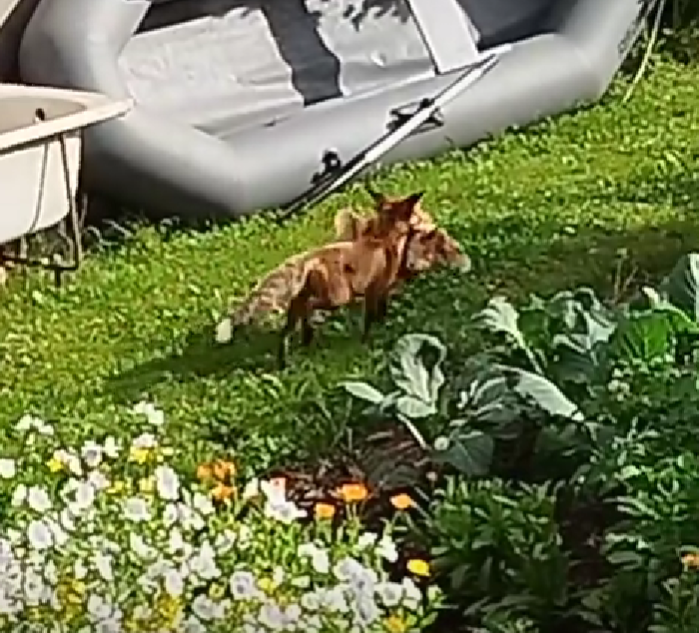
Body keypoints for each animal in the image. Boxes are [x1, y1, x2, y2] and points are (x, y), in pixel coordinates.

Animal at [215, 191, 423, 369]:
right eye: (414, 213)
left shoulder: (378, 292)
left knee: (284, 334)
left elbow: (379, 314)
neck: (383, 239)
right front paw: (369, 339)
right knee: (309, 310)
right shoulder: (375, 291)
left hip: (297, 307)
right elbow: (371, 319)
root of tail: (306, 258)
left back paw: (288, 359)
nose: (420, 222)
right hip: (337, 299)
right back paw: (308, 335)